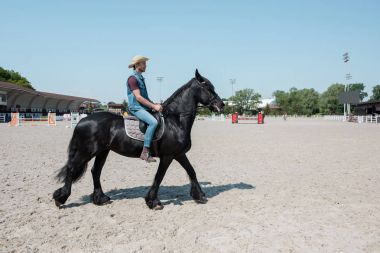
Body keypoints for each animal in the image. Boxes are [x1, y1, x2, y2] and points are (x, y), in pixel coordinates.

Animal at [54, 69, 226, 210]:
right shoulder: (168, 156)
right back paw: (61, 198)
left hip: (103, 151)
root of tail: (83, 120)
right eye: (208, 88)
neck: (175, 120)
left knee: (95, 171)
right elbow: (159, 177)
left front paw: (199, 195)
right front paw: (153, 202)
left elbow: (191, 171)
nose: (221, 105)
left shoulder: (179, 154)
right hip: (87, 151)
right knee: (72, 169)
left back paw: (100, 199)